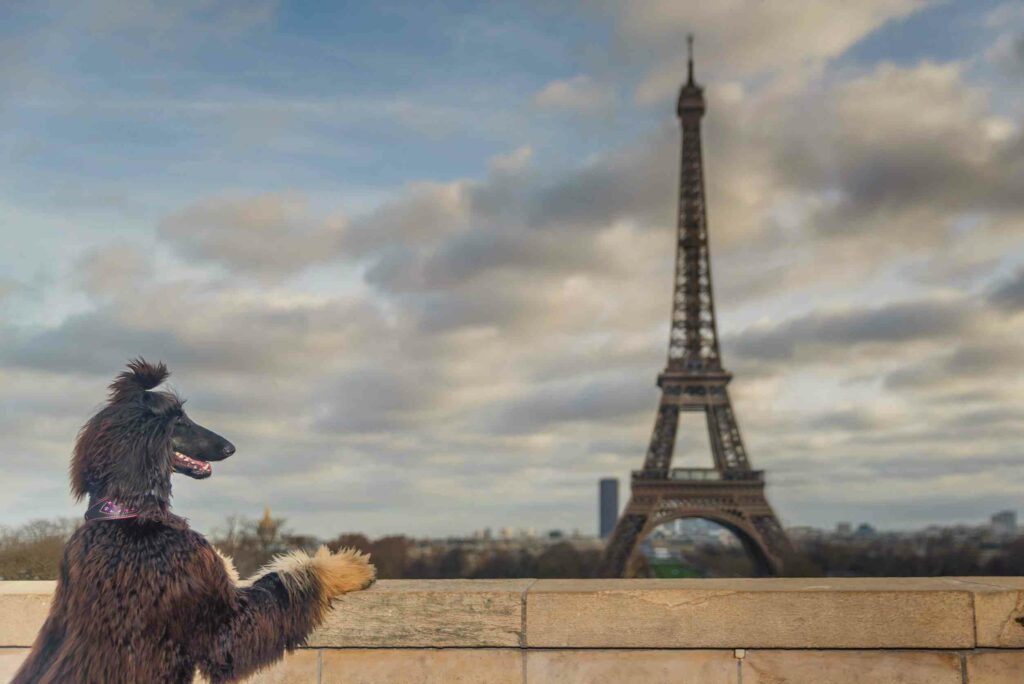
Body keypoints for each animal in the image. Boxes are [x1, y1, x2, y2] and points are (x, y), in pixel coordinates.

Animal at [12, 360, 376, 679]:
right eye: (179, 421)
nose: (230, 448)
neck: (126, 511)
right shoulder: (223, 625)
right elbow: (284, 582)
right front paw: (351, 567)